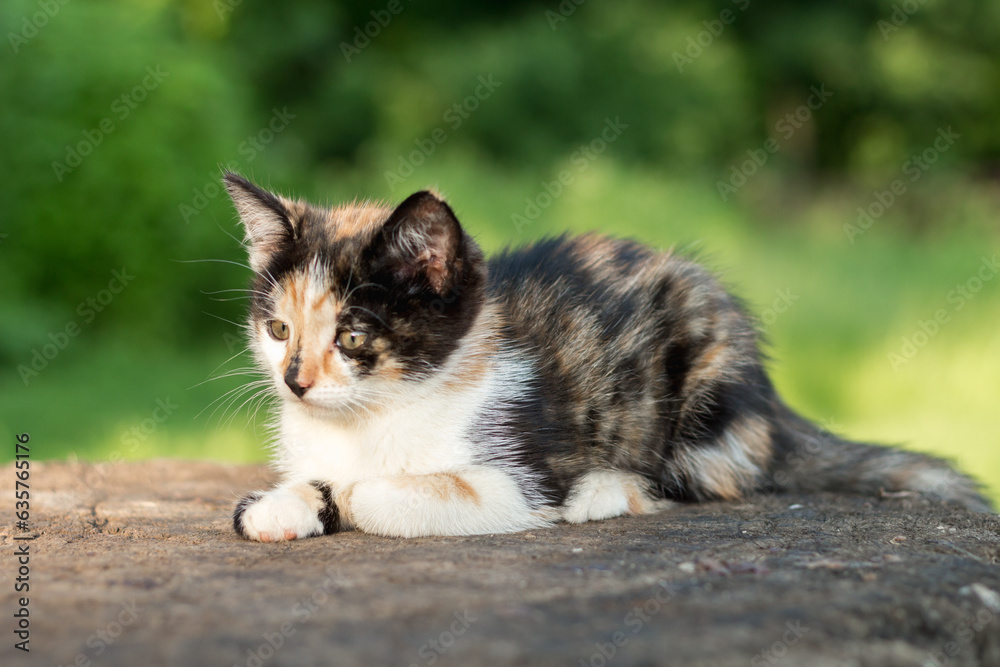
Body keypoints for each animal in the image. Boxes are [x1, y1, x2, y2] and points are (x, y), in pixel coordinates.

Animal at [225, 174, 992, 544]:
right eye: (278, 328)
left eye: (354, 336)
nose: (294, 381)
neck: (373, 415)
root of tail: (774, 401)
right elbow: (323, 479)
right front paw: (281, 504)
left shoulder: (519, 475)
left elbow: (382, 490)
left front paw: (343, 493)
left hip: (707, 389)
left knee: (708, 478)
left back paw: (605, 492)